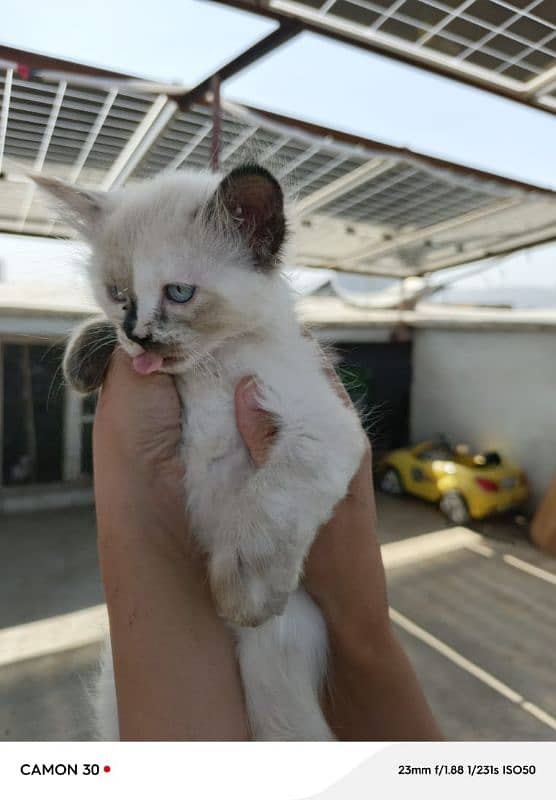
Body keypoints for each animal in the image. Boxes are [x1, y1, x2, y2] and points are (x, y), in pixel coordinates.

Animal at [38, 164, 364, 744]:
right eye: (118, 295)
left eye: (180, 293)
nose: (138, 335)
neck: (210, 367)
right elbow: (96, 336)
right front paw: (85, 356)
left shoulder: (324, 426)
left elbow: (269, 501)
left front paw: (244, 588)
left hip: (274, 664)